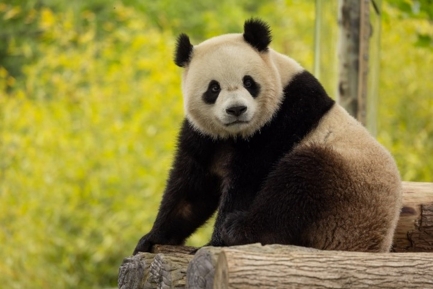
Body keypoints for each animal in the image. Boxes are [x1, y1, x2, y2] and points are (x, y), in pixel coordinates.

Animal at [134, 19, 402, 253]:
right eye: (214, 88)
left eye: (248, 82)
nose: (236, 109)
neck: (236, 134)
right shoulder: (205, 136)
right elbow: (191, 188)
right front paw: (152, 238)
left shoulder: (282, 120)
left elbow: (249, 180)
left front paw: (216, 241)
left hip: (347, 193)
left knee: (298, 184)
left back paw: (238, 229)